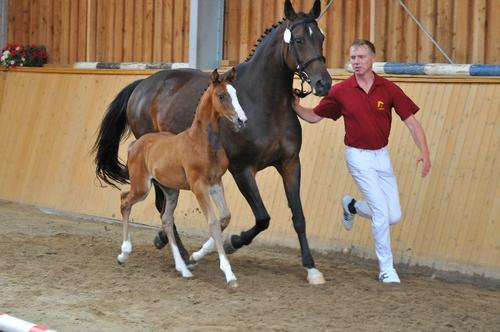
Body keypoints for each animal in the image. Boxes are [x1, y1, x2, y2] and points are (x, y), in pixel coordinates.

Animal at [119, 68, 248, 286]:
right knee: (124, 201)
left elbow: (225, 217)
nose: (242, 121)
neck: (203, 142)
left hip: (171, 190)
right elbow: (213, 222)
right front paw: (229, 274)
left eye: (236, 93)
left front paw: (197, 255)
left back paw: (183, 268)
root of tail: (135, 144)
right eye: (221, 95)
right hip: (142, 187)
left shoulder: (216, 183)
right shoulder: (199, 186)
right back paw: (124, 253)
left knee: (166, 219)